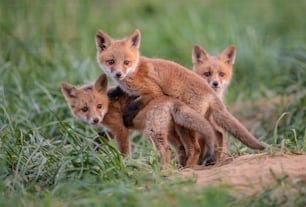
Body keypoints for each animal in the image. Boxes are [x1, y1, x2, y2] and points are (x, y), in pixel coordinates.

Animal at [61, 73, 219, 166]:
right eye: (84, 109)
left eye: (99, 106)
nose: (95, 120)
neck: (108, 105)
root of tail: (168, 98)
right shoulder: (112, 129)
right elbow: (98, 138)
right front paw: (95, 151)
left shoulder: (121, 129)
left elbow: (124, 151)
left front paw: (124, 164)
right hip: (169, 132)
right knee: (181, 148)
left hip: (152, 132)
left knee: (169, 150)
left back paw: (163, 171)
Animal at [94, 28, 264, 163]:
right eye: (111, 61)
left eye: (126, 62)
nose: (118, 74)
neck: (134, 71)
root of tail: (211, 92)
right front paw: (113, 92)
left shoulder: (153, 91)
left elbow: (136, 104)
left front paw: (128, 115)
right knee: (215, 133)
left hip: (185, 122)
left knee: (199, 143)